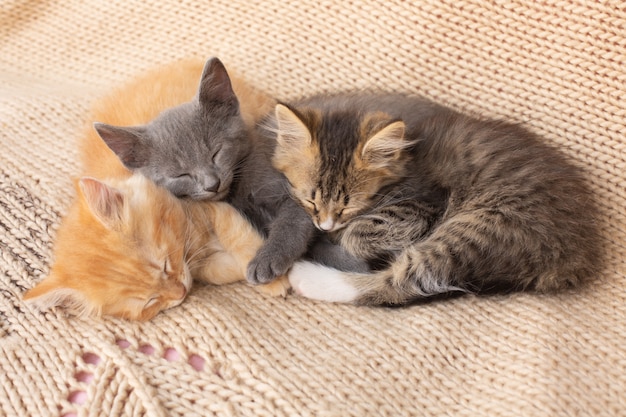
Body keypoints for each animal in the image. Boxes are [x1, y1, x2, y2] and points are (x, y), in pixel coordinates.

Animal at [23, 58, 288, 320]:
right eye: (150, 302)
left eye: (216, 153)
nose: (180, 293)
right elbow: (212, 271)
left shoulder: (211, 208)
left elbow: (240, 238)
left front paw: (272, 280)